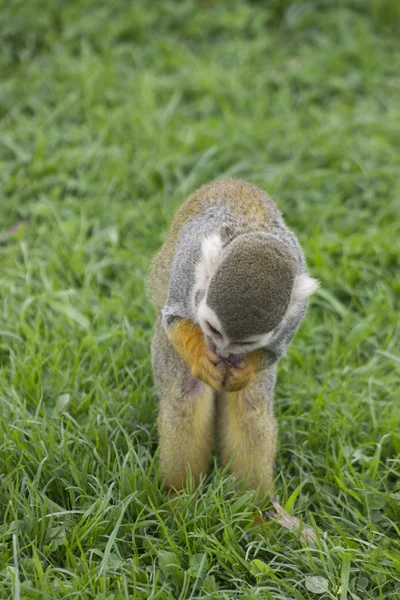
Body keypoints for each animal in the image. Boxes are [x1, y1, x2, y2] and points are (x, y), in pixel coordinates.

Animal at [148, 177, 318, 496]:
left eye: (247, 343)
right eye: (213, 331)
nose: (224, 354)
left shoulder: (298, 304)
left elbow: (275, 351)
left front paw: (244, 371)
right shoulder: (192, 253)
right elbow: (175, 317)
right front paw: (202, 361)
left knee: (250, 407)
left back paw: (256, 504)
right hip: (162, 345)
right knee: (184, 396)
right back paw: (179, 498)